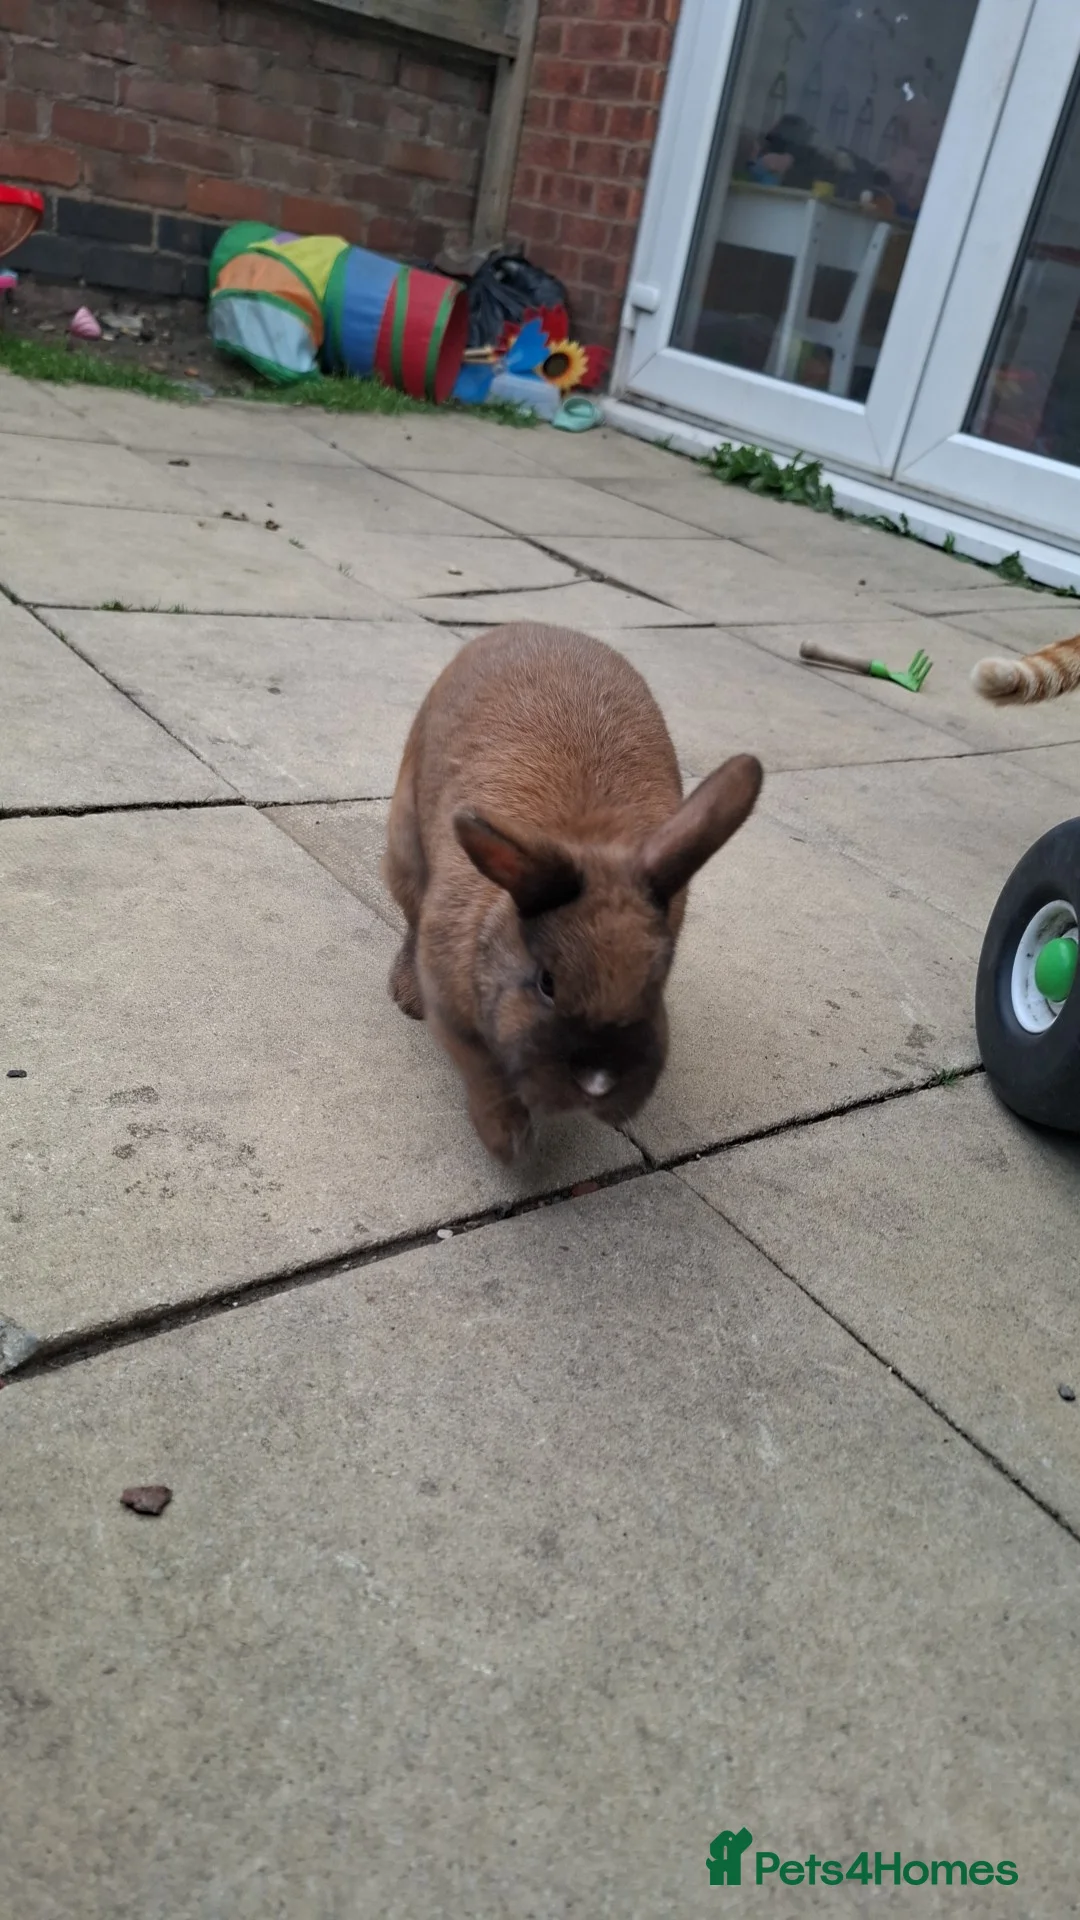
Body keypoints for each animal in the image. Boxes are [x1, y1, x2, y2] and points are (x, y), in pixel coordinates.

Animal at [384, 623, 762, 1164]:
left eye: (656, 983)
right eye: (547, 982)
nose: (598, 1082)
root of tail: (530, 626)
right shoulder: (455, 1014)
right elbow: (484, 1074)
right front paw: (510, 1145)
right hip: (404, 845)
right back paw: (406, 997)